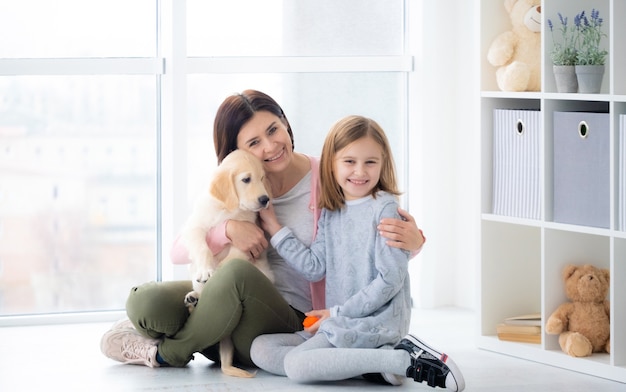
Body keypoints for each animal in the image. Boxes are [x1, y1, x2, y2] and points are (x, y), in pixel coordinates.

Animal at [177, 148, 272, 376]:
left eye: (262, 178)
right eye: (246, 179)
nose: (265, 199)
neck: (227, 209)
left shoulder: (244, 243)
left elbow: (230, 261)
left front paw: (216, 272)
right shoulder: (194, 226)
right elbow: (202, 246)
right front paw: (206, 270)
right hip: (191, 268)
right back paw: (194, 297)